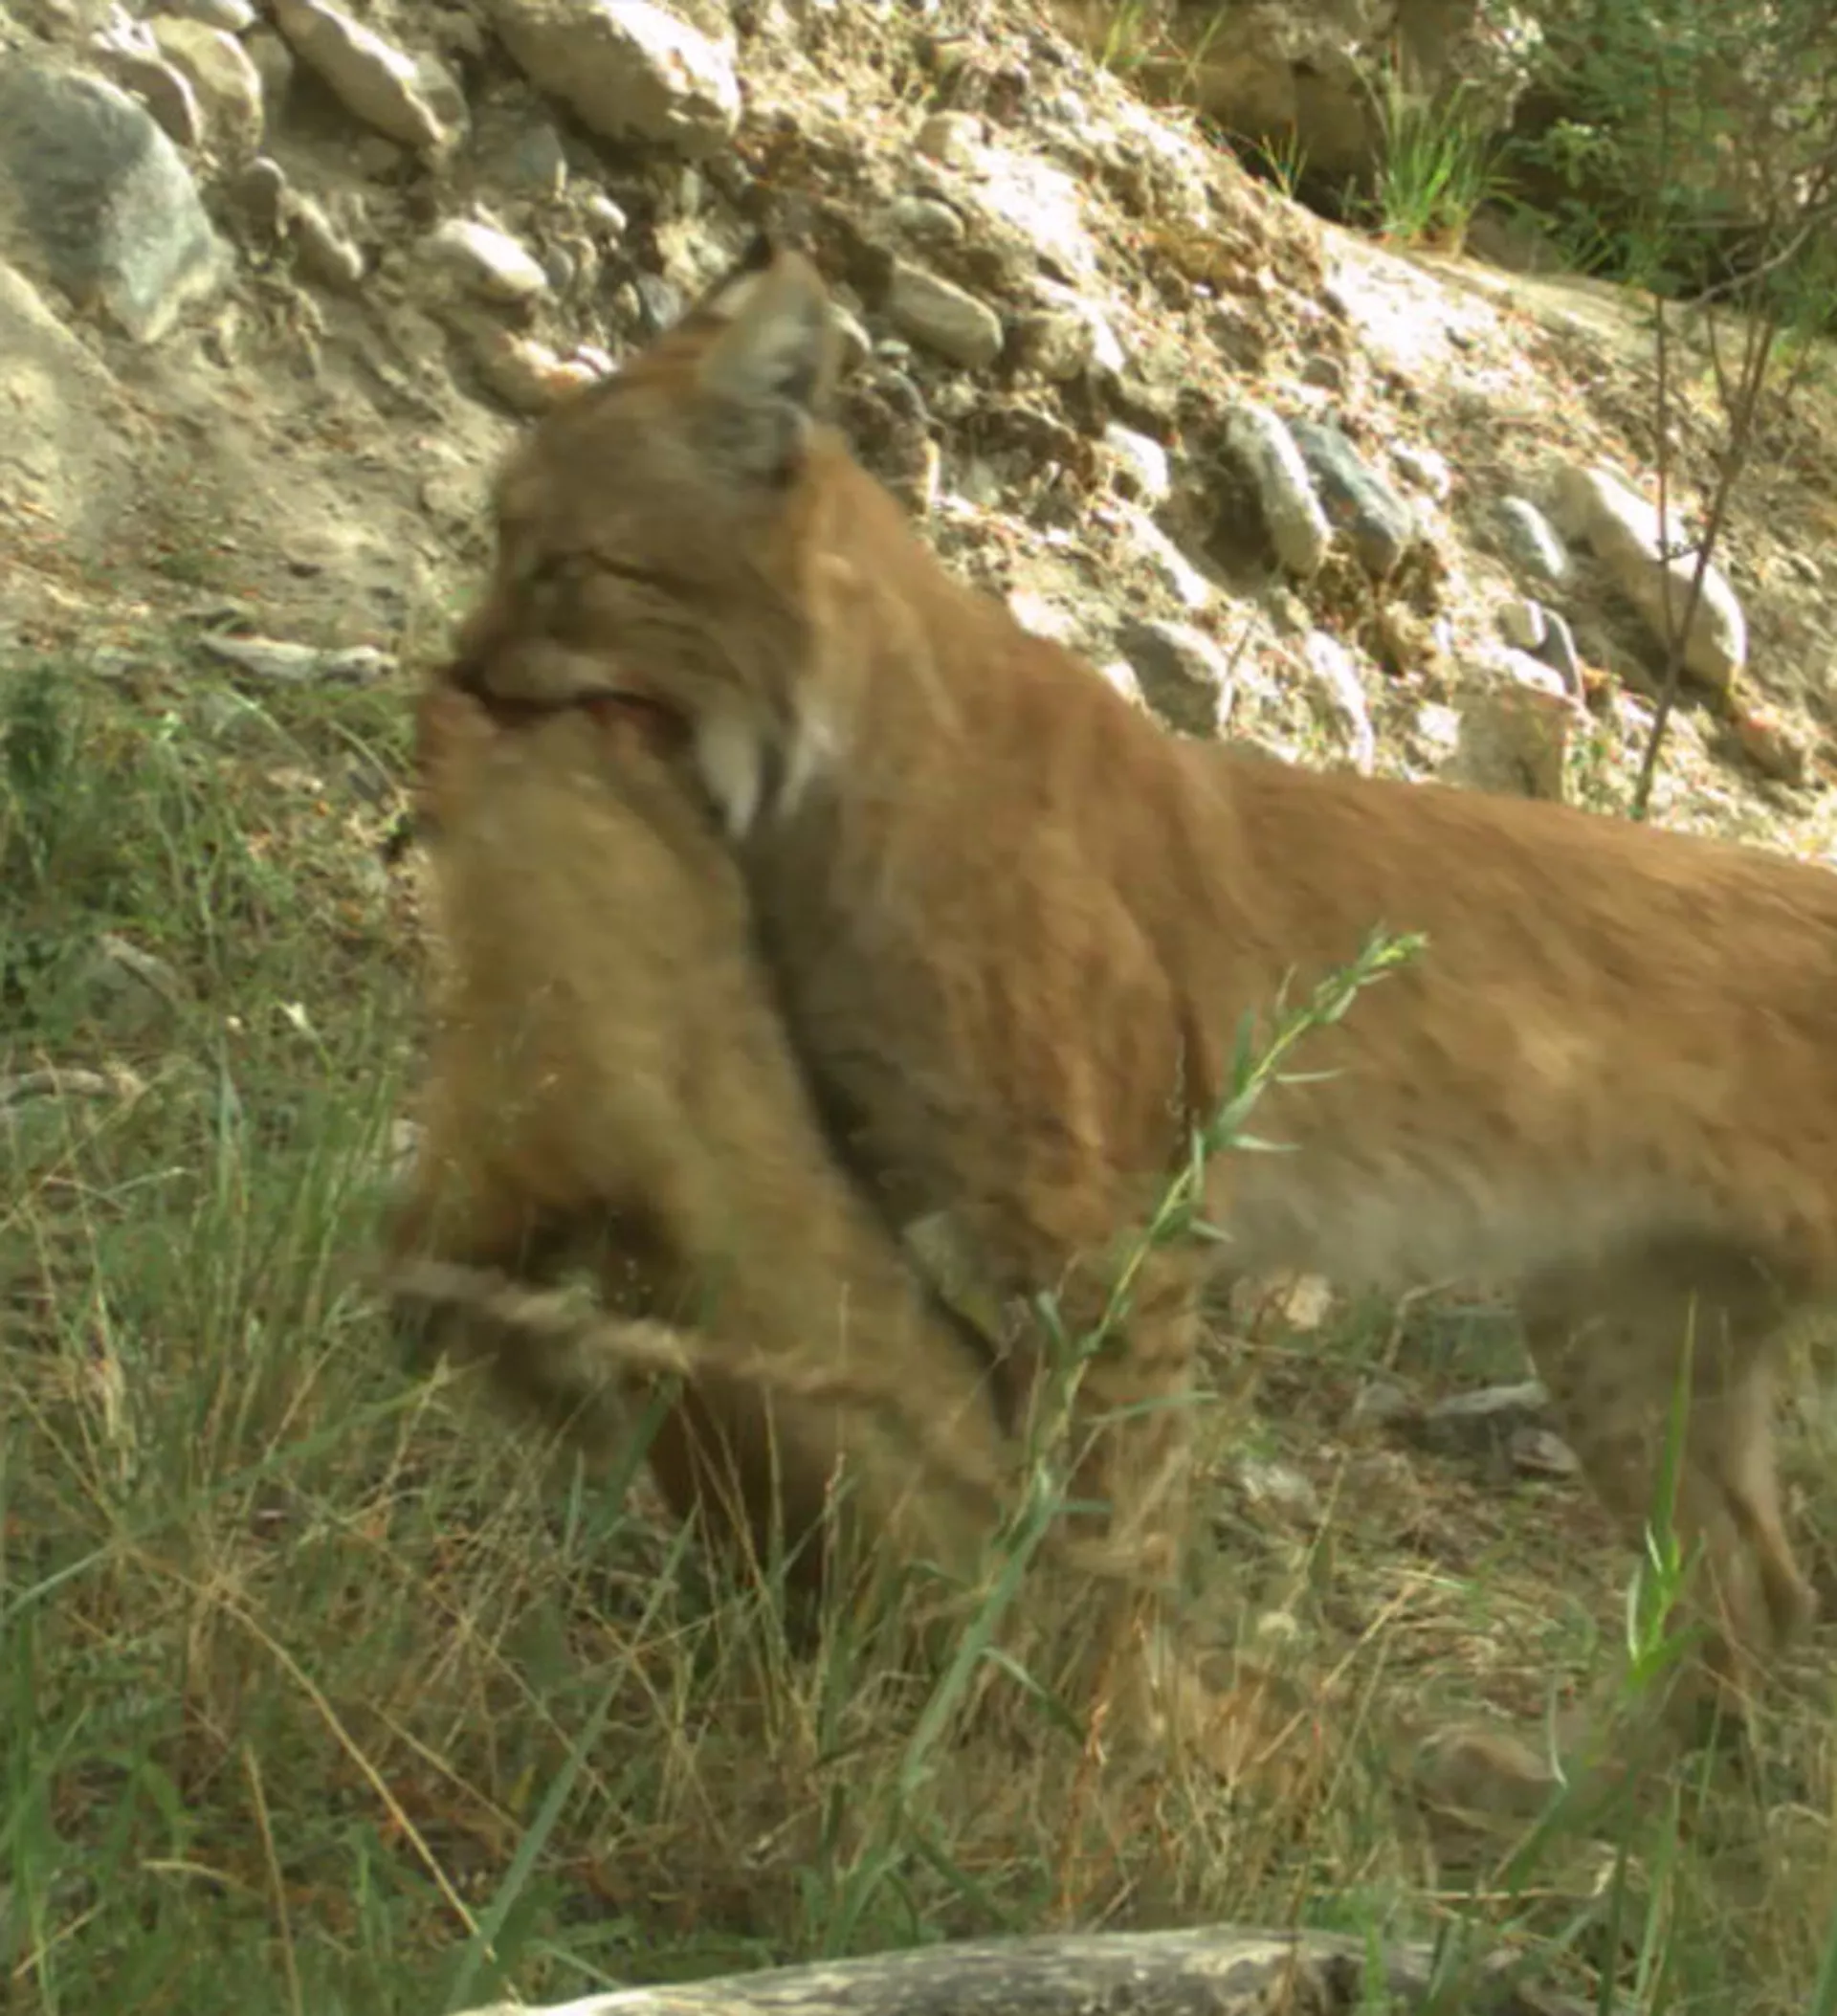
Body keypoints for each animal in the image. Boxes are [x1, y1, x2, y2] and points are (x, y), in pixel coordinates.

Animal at [427, 235, 1836, 1805]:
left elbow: (1119, 1509)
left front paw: (1086, 1757)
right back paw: (1568, 1810)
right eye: (499, 538)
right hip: (1619, 1314)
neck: (822, 758)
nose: (457, 669)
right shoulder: (914, 1178)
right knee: (1751, 1582)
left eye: (568, 567)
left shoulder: (1113, 1229)